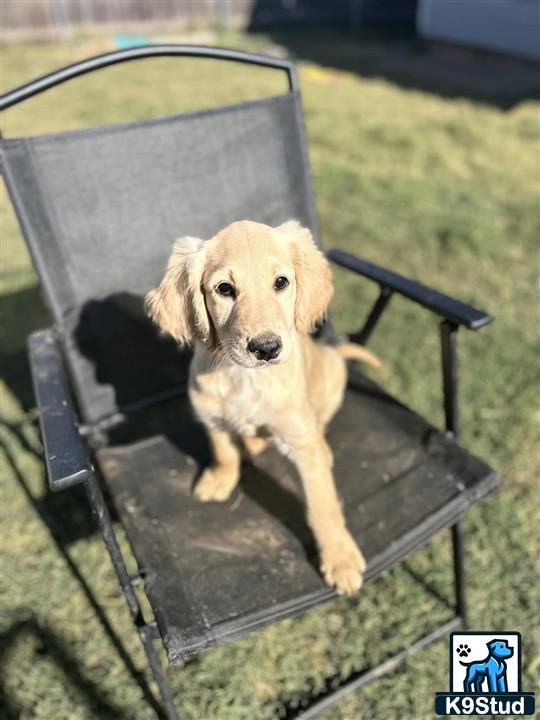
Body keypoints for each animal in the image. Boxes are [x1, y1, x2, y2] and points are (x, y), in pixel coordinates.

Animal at [146, 221, 378, 596]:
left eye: (281, 282)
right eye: (224, 289)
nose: (266, 348)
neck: (244, 378)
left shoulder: (300, 438)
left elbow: (323, 505)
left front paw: (339, 558)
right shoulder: (209, 413)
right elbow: (223, 450)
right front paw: (220, 478)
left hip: (333, 378)